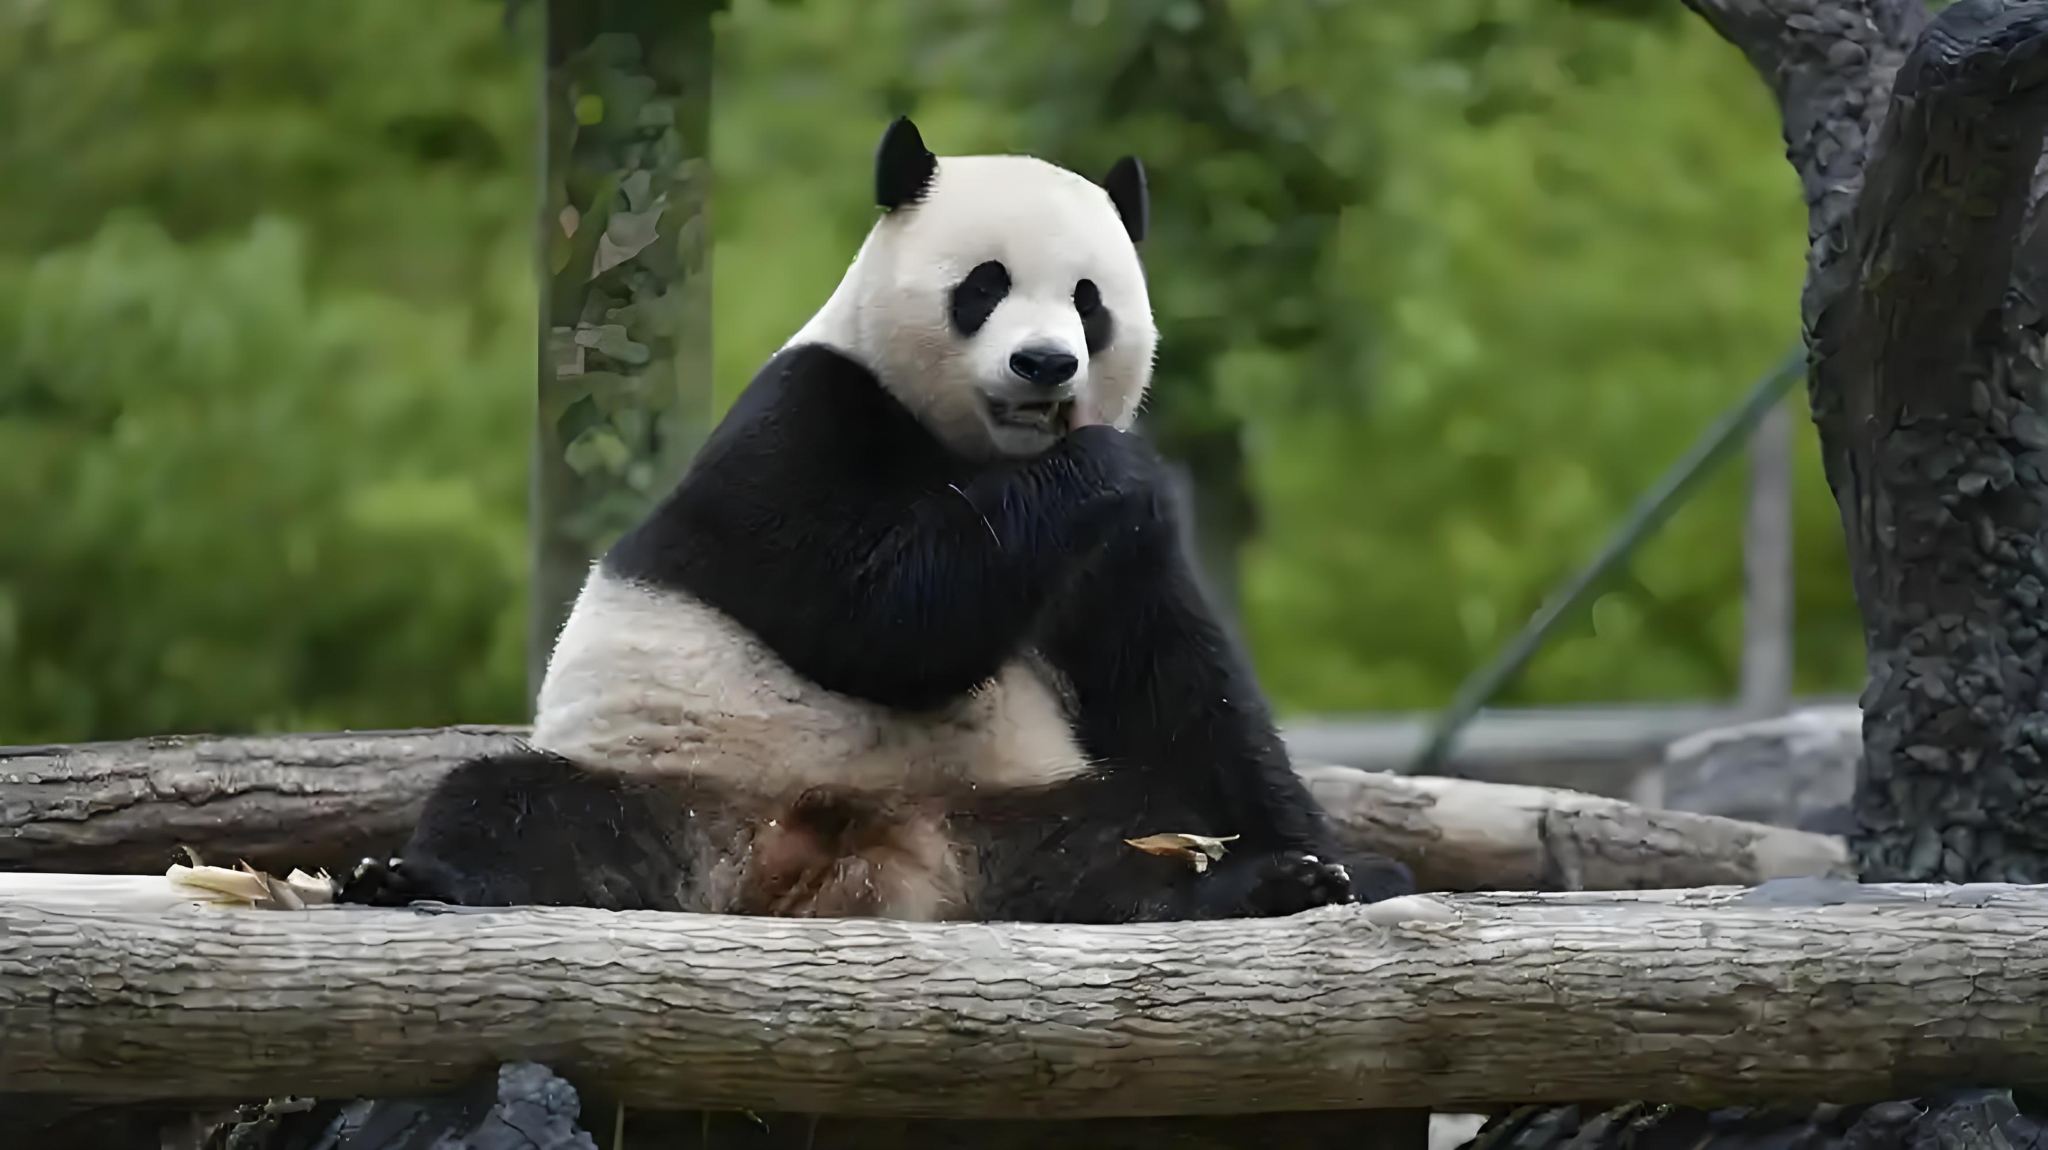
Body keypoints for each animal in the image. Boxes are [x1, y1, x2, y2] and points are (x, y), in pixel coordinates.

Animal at [343, 117, 1413, 924]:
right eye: (984, 285)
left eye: (1089, 301)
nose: (1045, 366)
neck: (989, 457)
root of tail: (840, 862)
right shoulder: (805, 416)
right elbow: (878, 614)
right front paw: (1117, 462)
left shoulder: (1107, 567)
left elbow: (1186, 688)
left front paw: (1334, 865)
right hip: (668, 788)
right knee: (517, 808)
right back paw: (409, 877)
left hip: (1009, 810)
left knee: (1137, 833)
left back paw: (1249, 886)